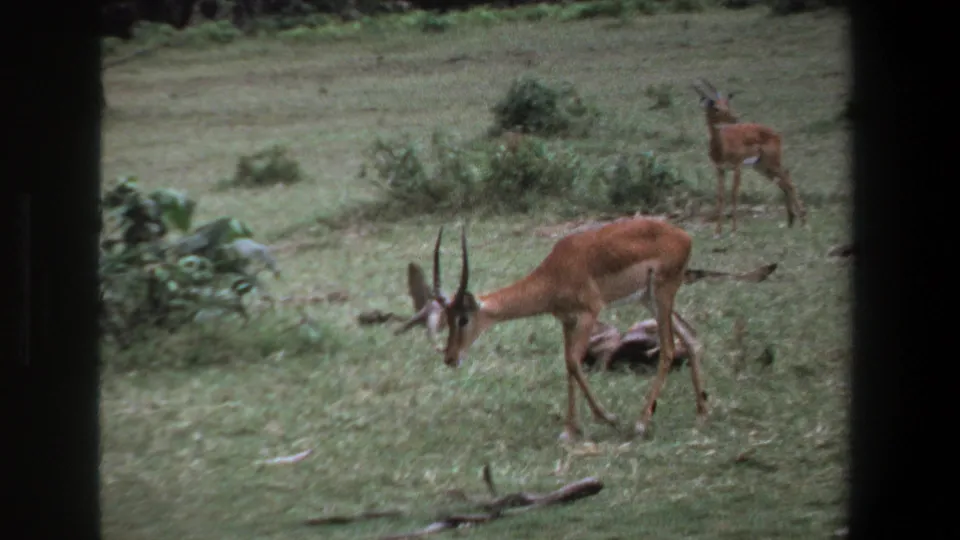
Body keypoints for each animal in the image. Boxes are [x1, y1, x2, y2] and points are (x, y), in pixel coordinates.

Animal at [429, 218, 707, 442]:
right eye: (447, 318)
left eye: (463, 319)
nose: (450, 357)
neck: (555, 273)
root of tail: (685, 236)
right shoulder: (567, 321)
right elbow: (567, 364)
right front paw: (570, 430)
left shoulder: (589, 314)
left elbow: (574, 361)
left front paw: (608, 417)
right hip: (649, 299)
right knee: (691, 337)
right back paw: (701, 412)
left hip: (662, 293)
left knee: (668, 348)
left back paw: (640, 424)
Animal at [693, 78, 806, 235]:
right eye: (716, 107)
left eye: (727, 104)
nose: (735, 117)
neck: (722, 146)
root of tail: (776, 134)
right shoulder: (720, 169)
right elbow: (721, 197)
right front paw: (718, 231)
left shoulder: (737, 167)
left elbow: (734, 195)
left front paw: (734, 229)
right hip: (761, 166)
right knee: (783, 182)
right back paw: (791, 222)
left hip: (772, 162)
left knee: (788, 180)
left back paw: (803, 221)